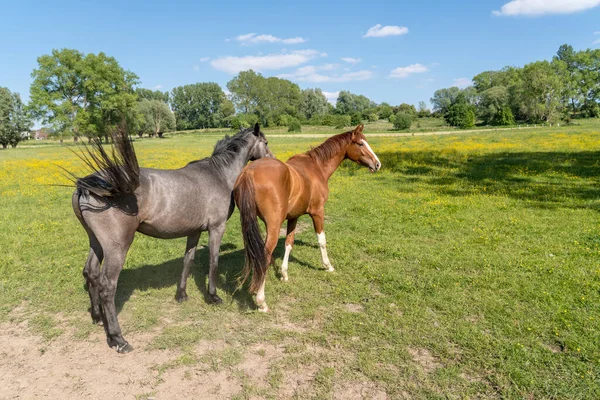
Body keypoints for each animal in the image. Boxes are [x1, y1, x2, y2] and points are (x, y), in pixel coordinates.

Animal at [71, 123, 274, 352]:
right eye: (265, 142)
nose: (272, 158)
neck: (219, 175)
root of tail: (88, 186)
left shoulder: (194, 231)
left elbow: (188, 260)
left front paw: (181, 295)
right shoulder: (217, 228)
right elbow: (213, 262)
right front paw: (213, 296)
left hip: (96, 242)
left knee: (90, 273)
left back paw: (98, 317)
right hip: (117, 248)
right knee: (107, 285)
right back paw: (117, 338)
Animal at [233, 123, 380, 310]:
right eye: (360, 143)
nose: (377, 164)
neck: (316, 167)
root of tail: (249, 173)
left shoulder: (293, 217)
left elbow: (289, 243)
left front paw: (284, 274)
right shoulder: (318, 212)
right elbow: (322, 240)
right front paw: (327, 266)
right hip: (273, 227)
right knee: (264, 256)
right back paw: (261, 301)